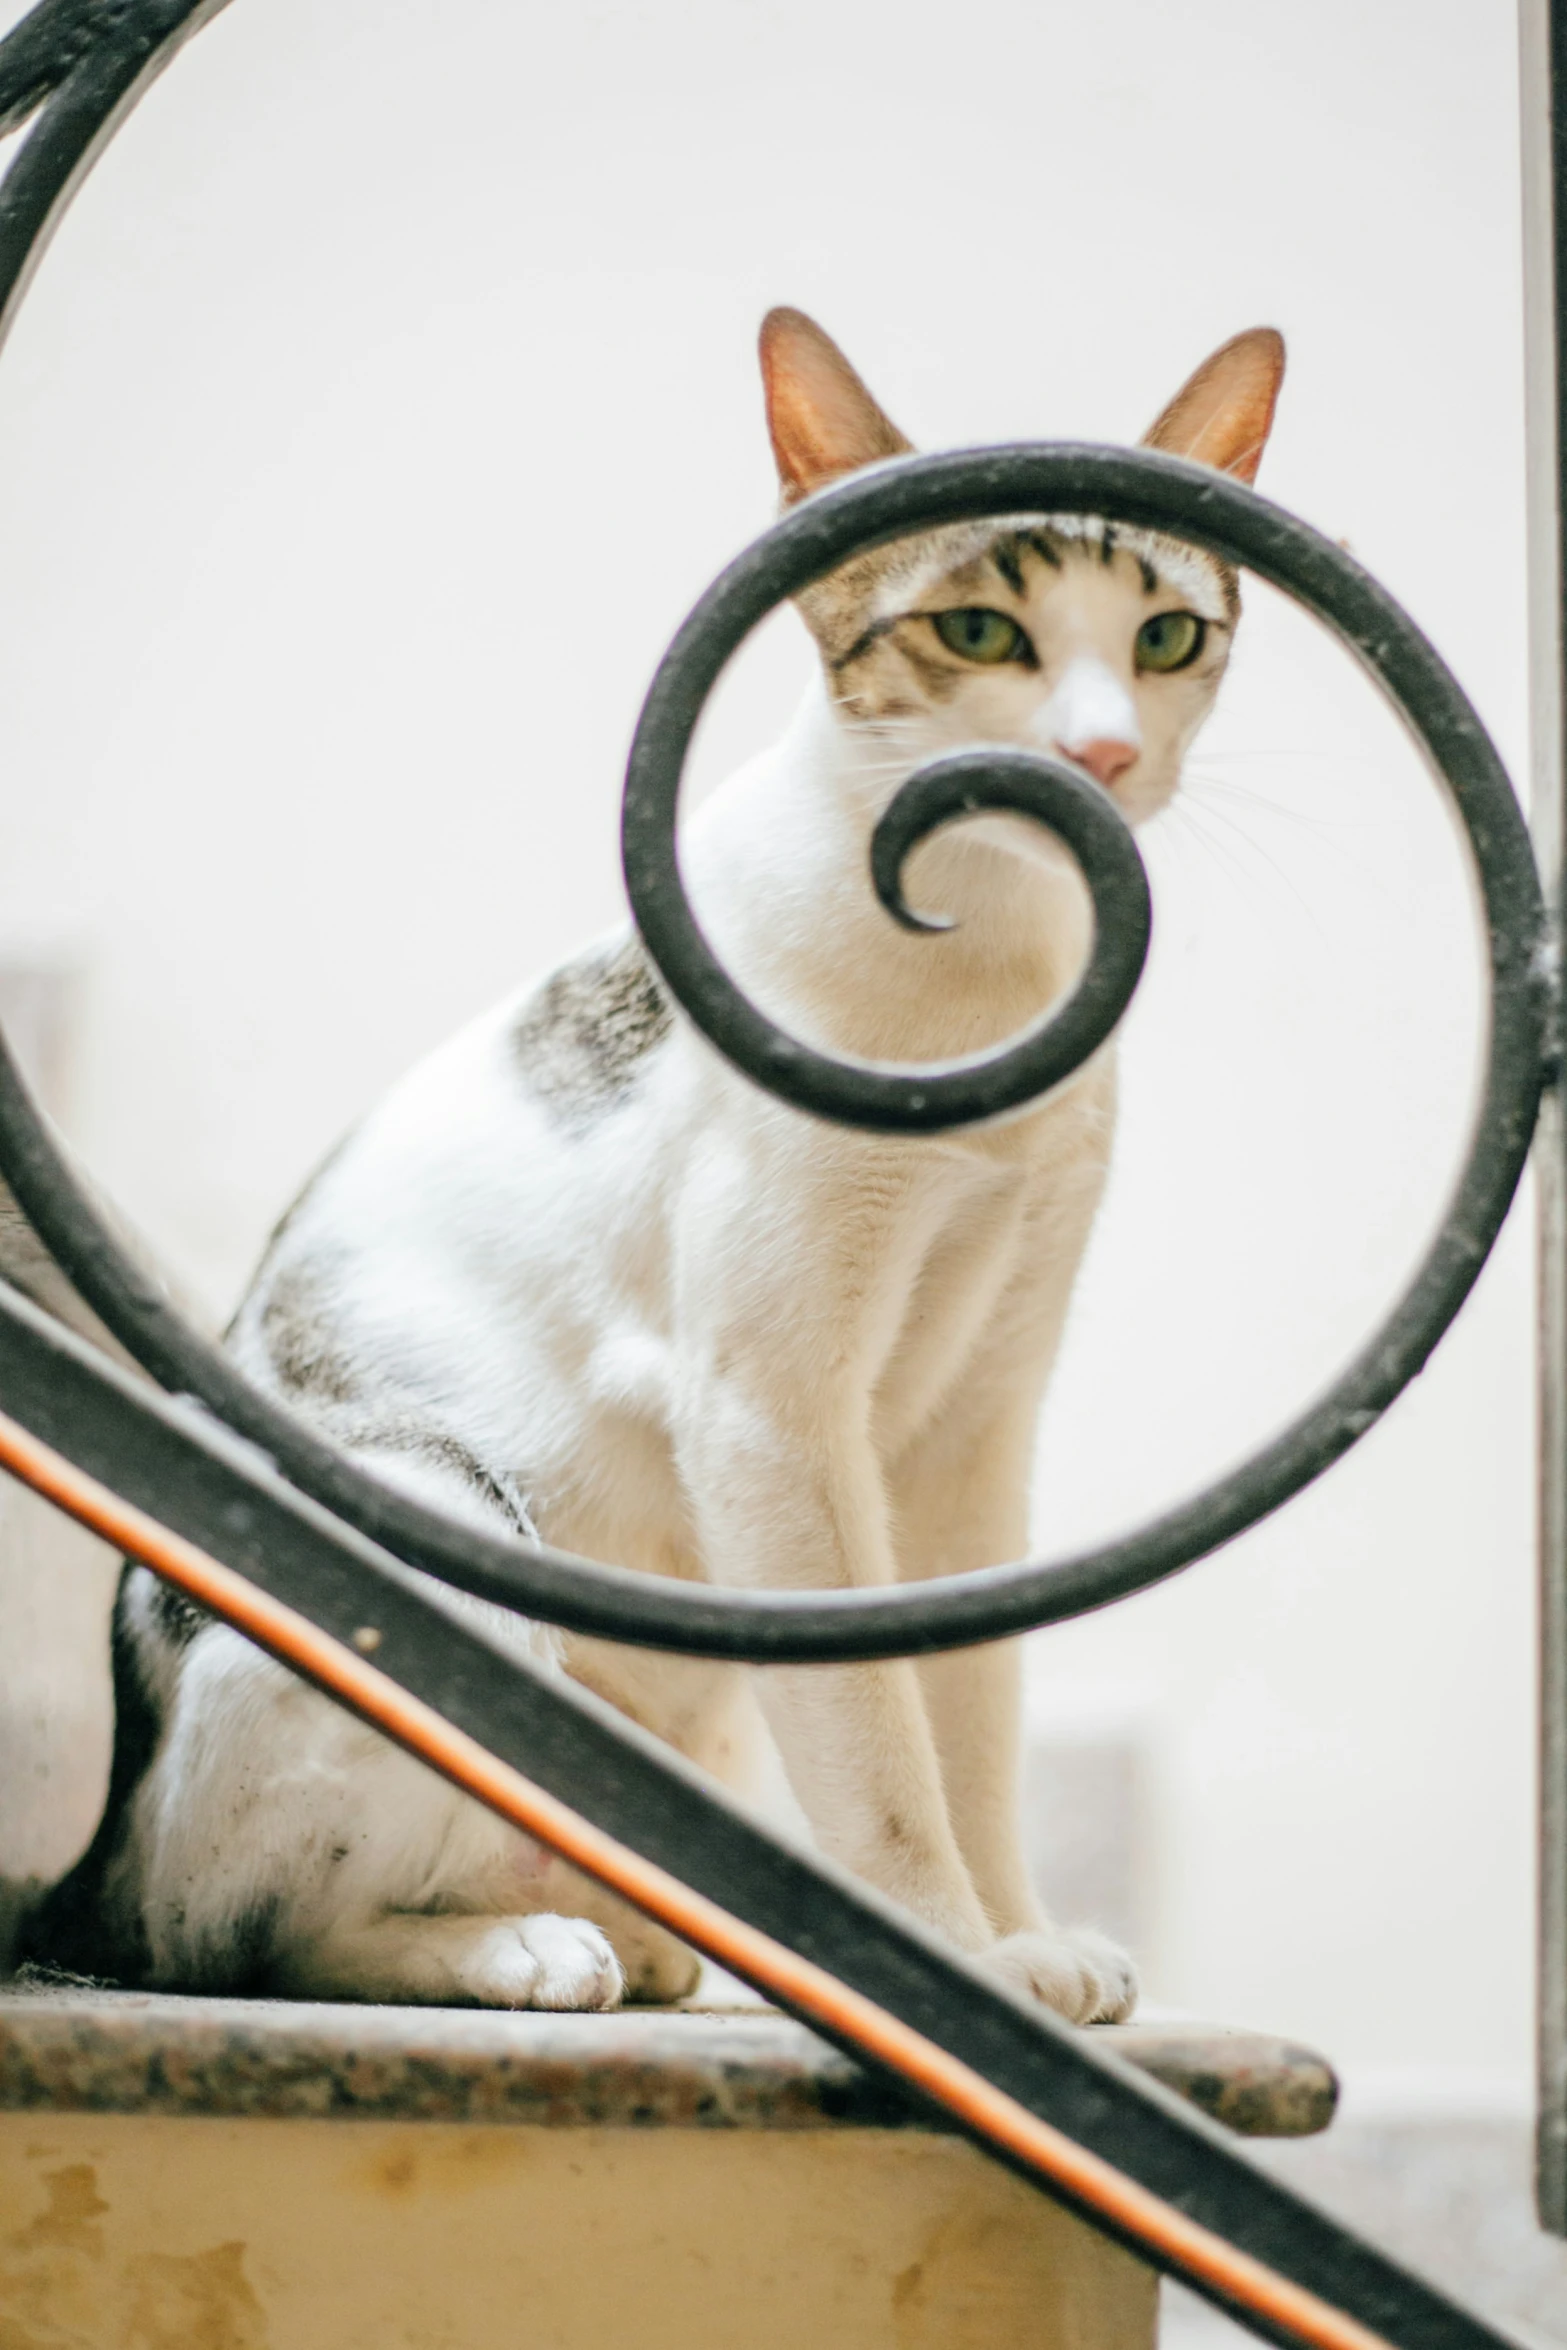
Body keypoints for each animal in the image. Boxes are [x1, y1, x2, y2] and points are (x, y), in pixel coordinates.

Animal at [30, 307, 1287, 2020]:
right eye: (975, 629)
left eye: (1163, 637)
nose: (1095, 751)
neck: (986, 982)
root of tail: (93, 1848)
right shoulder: (768, 1416)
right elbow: (878, 1747)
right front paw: (945, 1959)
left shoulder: (975, 1427)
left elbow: (967, 1711)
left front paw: (1013, 1933)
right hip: (436, 1521)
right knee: (237, 1933)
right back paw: (519, 1951)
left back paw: (626, 1934)